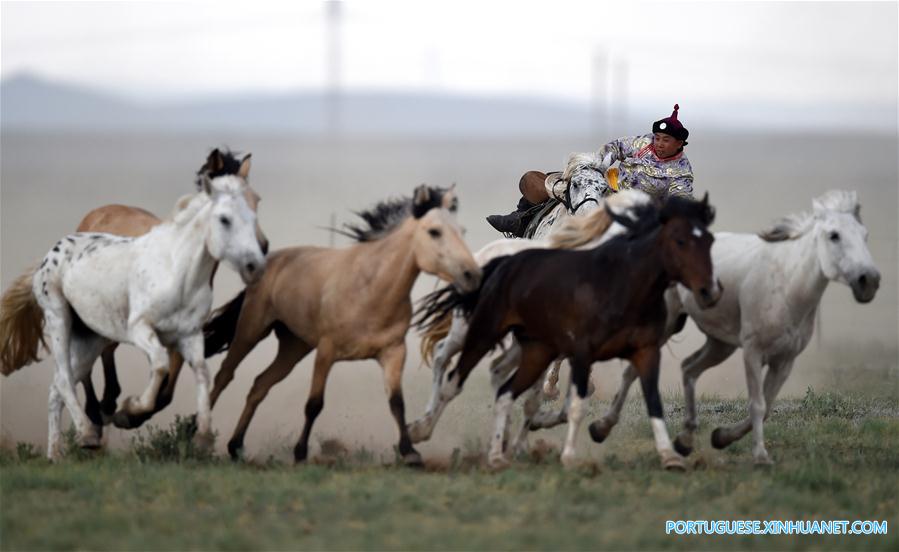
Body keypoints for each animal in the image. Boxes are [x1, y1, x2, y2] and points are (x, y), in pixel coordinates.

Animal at [0, 161, 268, 462]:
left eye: (254, 210)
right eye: (224, 219)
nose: (255, 264)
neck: (177, 272)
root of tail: (50, 254)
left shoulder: (190, 335)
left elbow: (201, 372)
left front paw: (202, 438)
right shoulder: (140, 329)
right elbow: (160, 365)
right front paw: (131, 409)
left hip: (90, 338)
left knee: (56, 387)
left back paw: (56, 455)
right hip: (60, 321)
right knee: (66, 381)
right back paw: (87, 435)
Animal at [206, 185, 486, 466]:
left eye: (461, 231)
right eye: (434, 231)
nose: (472, 275)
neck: (369, 289)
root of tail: (268, 261)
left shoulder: (393, 352)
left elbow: (397, 403)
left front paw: (410, 453)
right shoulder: (326, 351)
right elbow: (314, 403)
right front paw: (300, 453)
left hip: (294, 346)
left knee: (260, 384)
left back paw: (236, 446)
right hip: (251, 331)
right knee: (224, 376)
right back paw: (202, 435)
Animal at [588, 188, 884, 464]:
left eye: (865, 234)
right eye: (834, 235)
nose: (868, 280)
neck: (787, 284)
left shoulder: (785, 360)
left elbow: (767, 406)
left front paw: (722, 437)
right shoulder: (752, 351)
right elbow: (757, 403)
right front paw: (760, 456)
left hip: (721, 343)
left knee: (689, 368)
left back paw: (685, 439)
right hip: (667, 326)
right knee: (633, 371)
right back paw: (601, 428)